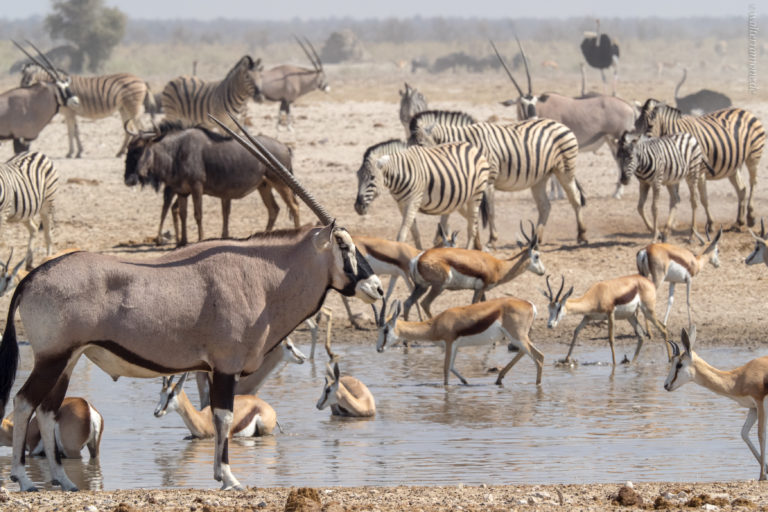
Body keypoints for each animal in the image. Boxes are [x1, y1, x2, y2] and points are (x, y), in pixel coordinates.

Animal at [20, 63, 153, 158]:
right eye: (22, 79)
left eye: (27, 80)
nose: (21, 91)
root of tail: (141, 80)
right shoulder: (72, 113)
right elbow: (76, 131)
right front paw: (78, 152)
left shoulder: (69, 112)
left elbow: (71, 132)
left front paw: (70, 153)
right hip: (123, 108)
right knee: (129, 130)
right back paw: (120, 152)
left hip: (132, 107)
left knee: (141, 128)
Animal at [356, 139, 492, 251]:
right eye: (357, 176)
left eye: (372, 177)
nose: (358, 207)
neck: (402, 172)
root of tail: (472, 147)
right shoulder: (402, 204)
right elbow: (415, 232)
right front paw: (419, 251)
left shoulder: (413, 201)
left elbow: (402, 234)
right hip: (460, 199)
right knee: (472, 221)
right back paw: (478, 246)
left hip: (476, 194)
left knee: (471, 226)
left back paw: (469, 250)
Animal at [412, 109, 584, 246]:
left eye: (421, 145)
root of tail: (561, 124)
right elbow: (447, 212)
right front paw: (438, 238)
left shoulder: (488, 180)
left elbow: (490, 210)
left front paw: (492, 239)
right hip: (539, 178)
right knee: (545, 206)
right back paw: (537, 237)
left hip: (565, 170)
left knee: (575, 198)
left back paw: (581, 235)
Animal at [632, 98, 764, 230]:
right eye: (635, 126)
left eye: (650, 125)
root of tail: (744, 111)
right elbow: (675, 198)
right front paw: (672, 223)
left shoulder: (699, 171)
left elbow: (703, 198)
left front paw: (710, 223)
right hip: (733, 167)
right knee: (742, 189)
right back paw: (739, 221)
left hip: (754, 156)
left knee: (753, 183)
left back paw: (750, 217)